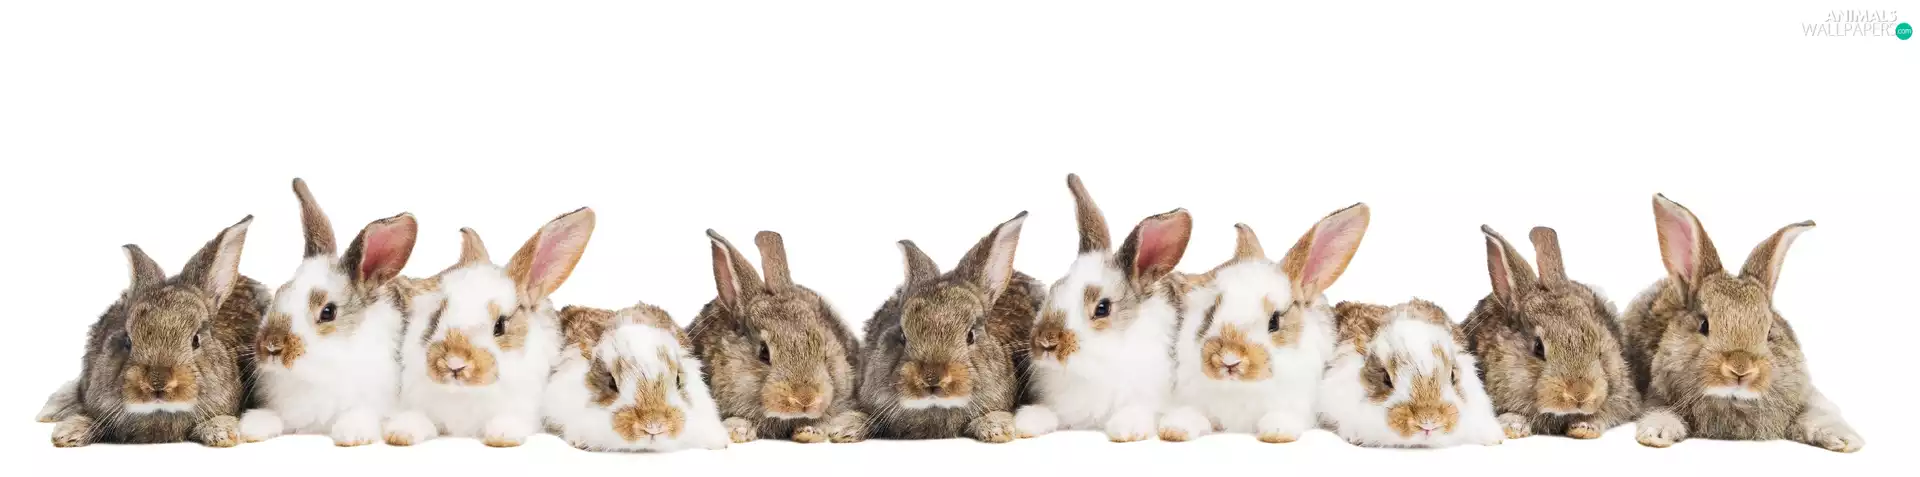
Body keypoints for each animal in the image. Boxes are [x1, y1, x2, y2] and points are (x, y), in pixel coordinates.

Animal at [238, 179, 421, 446]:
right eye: (280, 292)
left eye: (328, 312)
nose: (271, 346)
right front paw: (252, 427)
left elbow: (362, 414)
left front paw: (352, 433)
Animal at [385, 207, 595, 447]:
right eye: (436, 316)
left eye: (500, 325)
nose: (454, 363)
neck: (466, 394)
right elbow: (417, 417)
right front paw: (401, 433)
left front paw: (502, 436)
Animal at [1014, 174, 1192, 442]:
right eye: (1055, 288)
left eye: (1102, 308)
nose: (1046, 342)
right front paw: (1026, 422)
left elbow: (1140, 410)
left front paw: (1127, 427)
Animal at [1623, 194, 1862, 452]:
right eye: (1704, 325)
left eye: (1769, 331)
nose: (1741, 369)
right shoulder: (1656, 396)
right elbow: (1660, 413)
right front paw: (1657, 434)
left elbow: (1818, 413)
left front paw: (1844, 439)